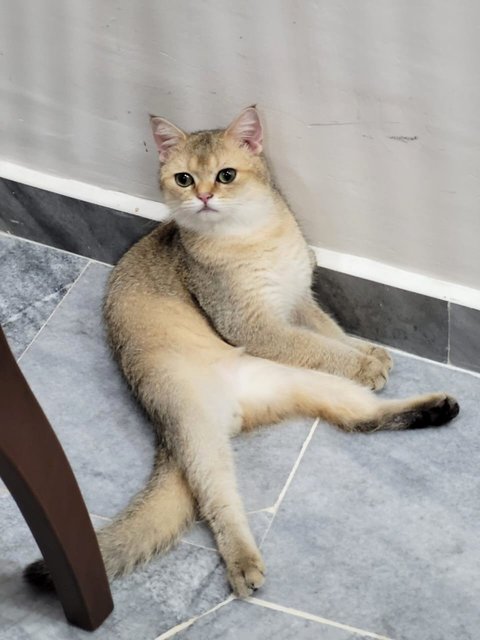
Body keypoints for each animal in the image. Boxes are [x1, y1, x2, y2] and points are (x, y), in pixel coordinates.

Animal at [24, 106, 460, 600]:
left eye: (225, 175)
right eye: (184, 178)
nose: (204, 196)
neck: (255, 234)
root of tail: (233, 412)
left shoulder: (297, 298)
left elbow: (329, 332)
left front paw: (369, 351)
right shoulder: (252, 325)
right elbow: (315, 343)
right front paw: (365, 363)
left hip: (304, 383)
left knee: (359, 419)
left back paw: (436, 409)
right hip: (194, 430)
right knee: (218, 501)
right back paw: (243, 564)